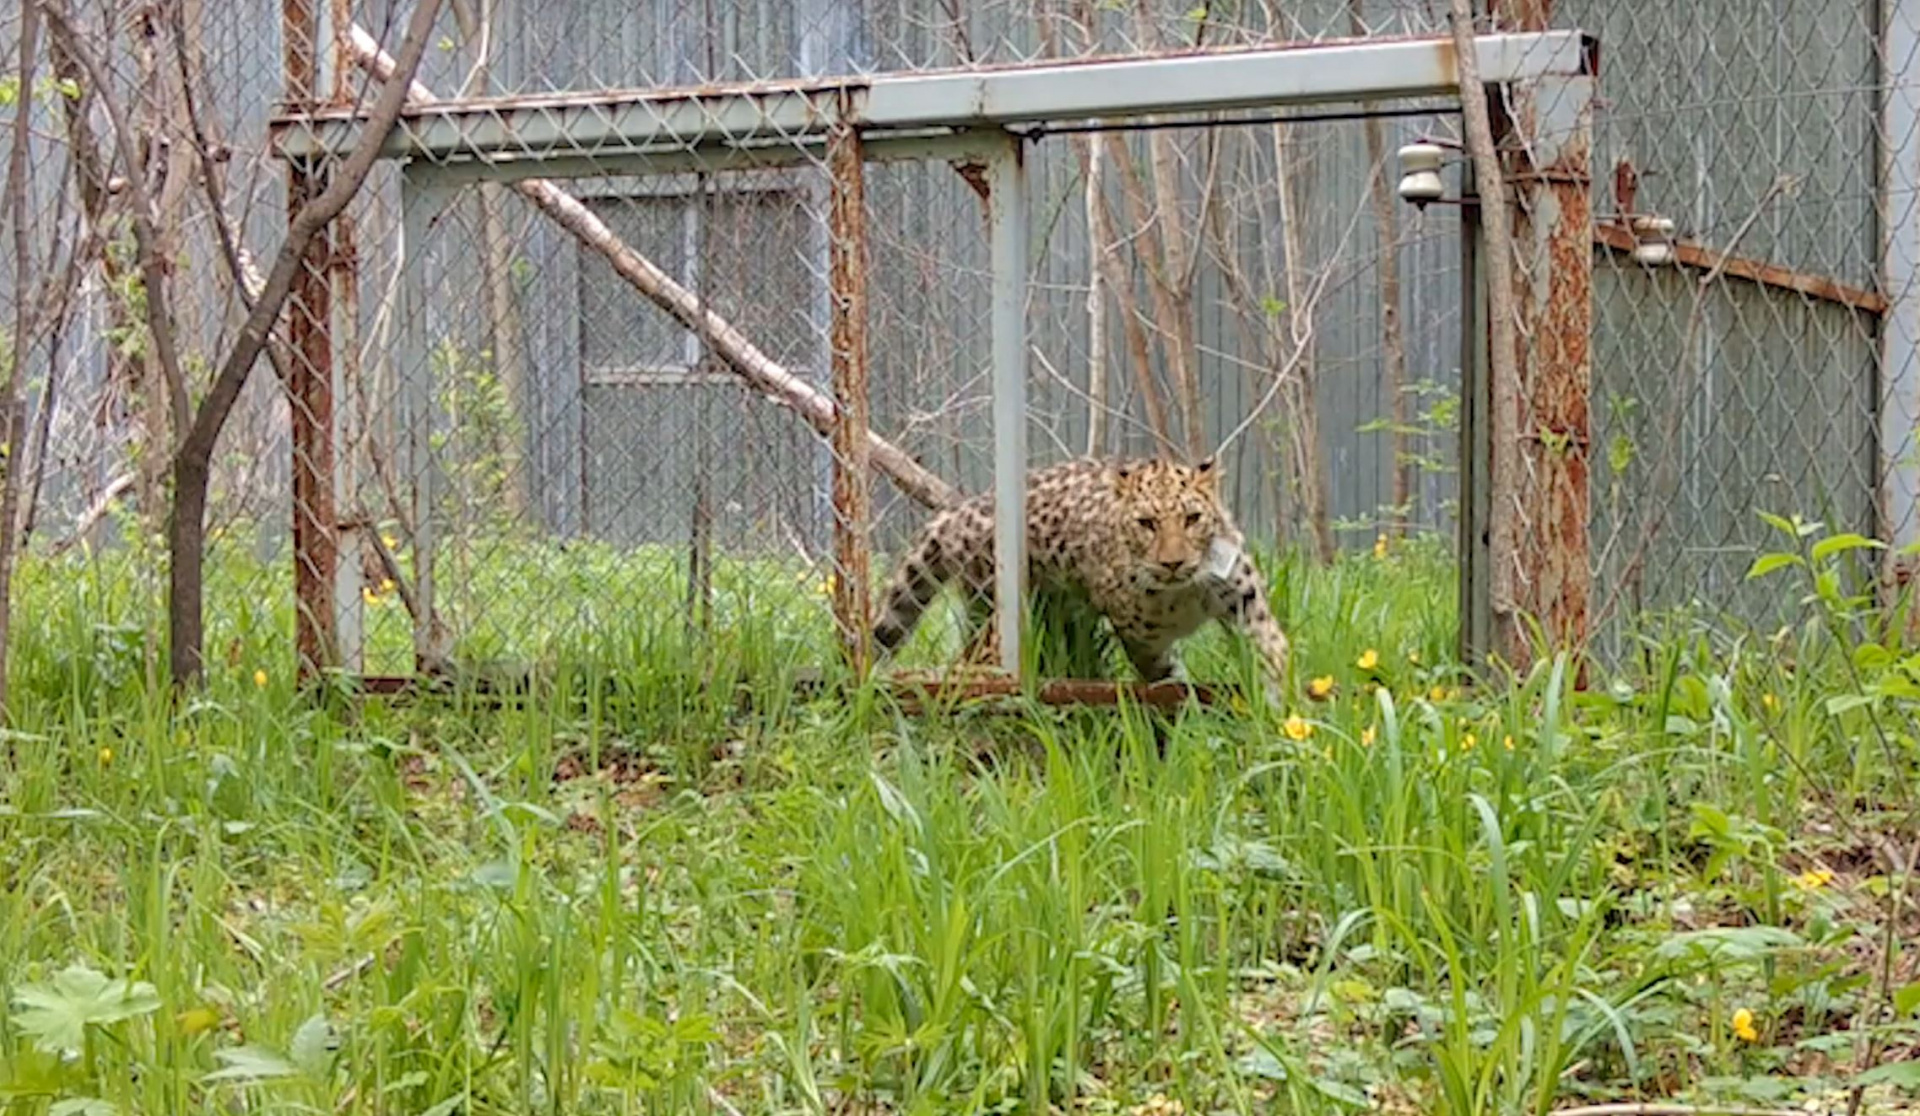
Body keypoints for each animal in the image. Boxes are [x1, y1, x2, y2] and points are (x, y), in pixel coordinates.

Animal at [871, 455, 1290, 706]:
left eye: (1192, 519)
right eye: (1146, 524)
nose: (1173, 562)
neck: (1183, 592)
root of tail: (958, 511)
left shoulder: (1246, 600)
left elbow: (1273, 649)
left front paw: (1276, 703)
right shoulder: (1139, 636)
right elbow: (1163, 672)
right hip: (1000, 610)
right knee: (970, 662)